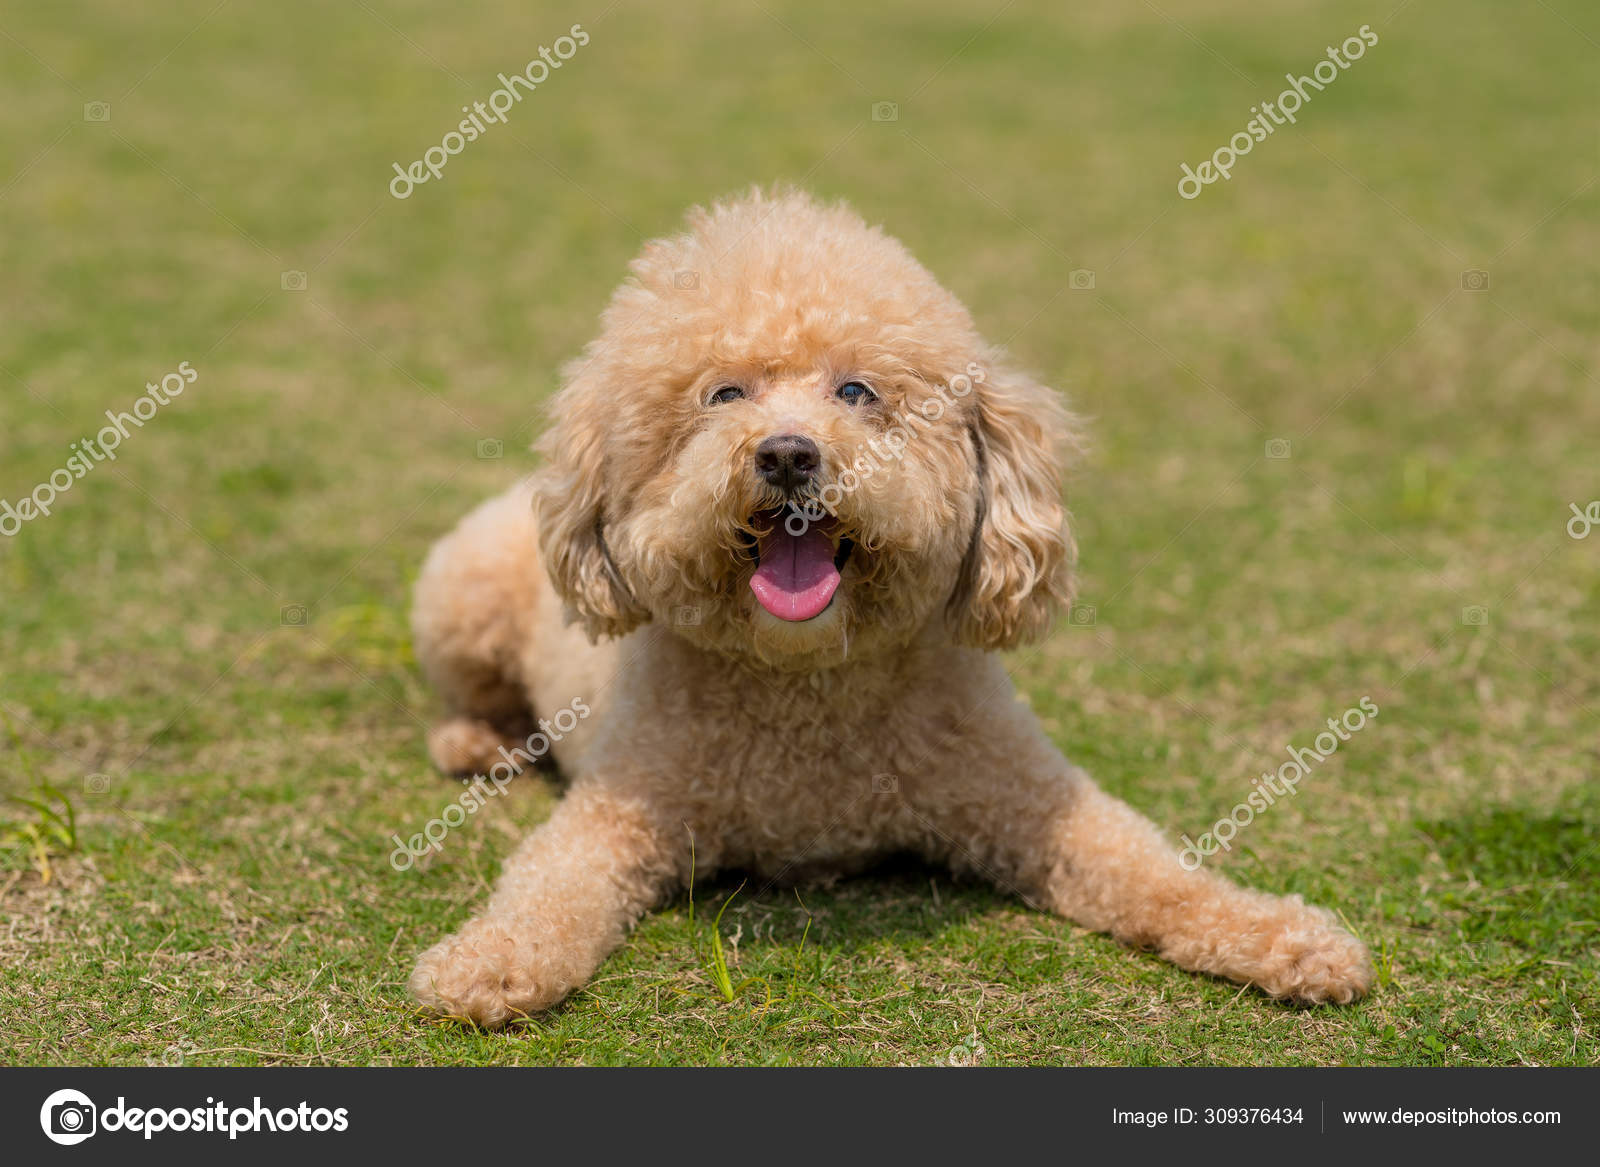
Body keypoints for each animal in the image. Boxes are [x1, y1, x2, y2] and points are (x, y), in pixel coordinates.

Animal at [406, 188, 1369, 1018]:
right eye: (725, 394)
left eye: (856, 391)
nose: (787, 454)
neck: (811, 682)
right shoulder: (620, 809)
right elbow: (547, 886)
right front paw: (487, 961)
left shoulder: (1028, 798)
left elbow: (1155, 869)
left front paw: (1288, 937)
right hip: (459, 595)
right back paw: (477, 741)